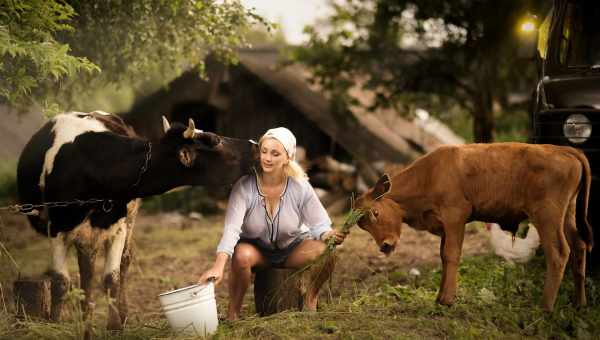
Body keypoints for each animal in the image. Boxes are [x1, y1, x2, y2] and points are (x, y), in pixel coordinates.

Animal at [16, 111, 255, 330]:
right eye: (215, 140)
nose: (254, 144)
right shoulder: (56, 228)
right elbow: (60, 281)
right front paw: (55, 324)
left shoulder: (118, 227)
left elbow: (111, 278)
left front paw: (114, 325)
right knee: (86, 269)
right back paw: (86, 317)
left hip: (125, 220)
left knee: (122, 261)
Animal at [354, 143, 592, 310]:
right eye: (362, 225)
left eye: (375, 213)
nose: (385, 246)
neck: (429, 175)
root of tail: (564, 150)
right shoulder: (445, 226)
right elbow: (444, 256)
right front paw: (440, 297)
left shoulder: (455, 216)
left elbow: (451, 254)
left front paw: (447, 300)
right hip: (567, 215)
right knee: (579, 246)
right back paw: (579, 302)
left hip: (547, 216)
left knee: (559, 252)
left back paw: (545, 307)